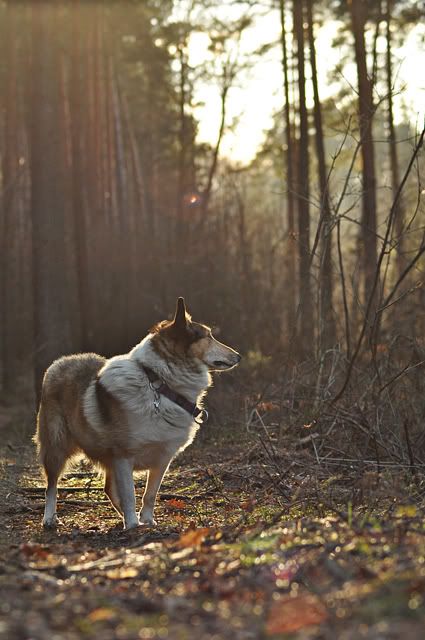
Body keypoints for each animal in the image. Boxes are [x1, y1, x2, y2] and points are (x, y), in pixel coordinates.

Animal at [34, 300, 240, 528]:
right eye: (208, 336)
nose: (238, 356)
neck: (158, 384)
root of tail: (60, 362)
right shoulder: (123, 456)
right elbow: (130, 494)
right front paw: (133, 525)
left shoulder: (162, 458)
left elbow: (150, 494)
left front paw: (147, 521)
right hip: (57, 447)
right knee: (51, 486)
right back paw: (49, 518)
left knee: (108, 488)